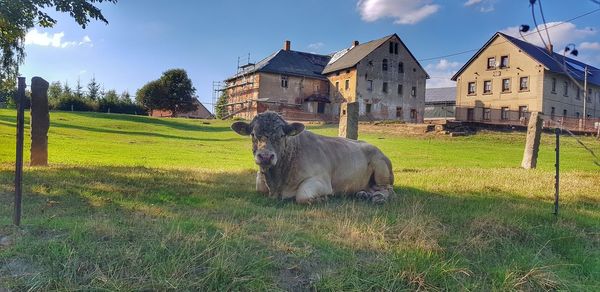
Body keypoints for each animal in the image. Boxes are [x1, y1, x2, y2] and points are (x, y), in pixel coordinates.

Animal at [232, 112, 396, 203]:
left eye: (282, 135)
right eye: (253, 134)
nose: (265, 157)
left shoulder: (322, 181)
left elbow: (302, 196)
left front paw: (323, 198)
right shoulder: (261, 181)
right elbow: (260, 189)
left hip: (381, 168)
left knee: (388, 190)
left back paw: (378, 198)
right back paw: (363, 194)